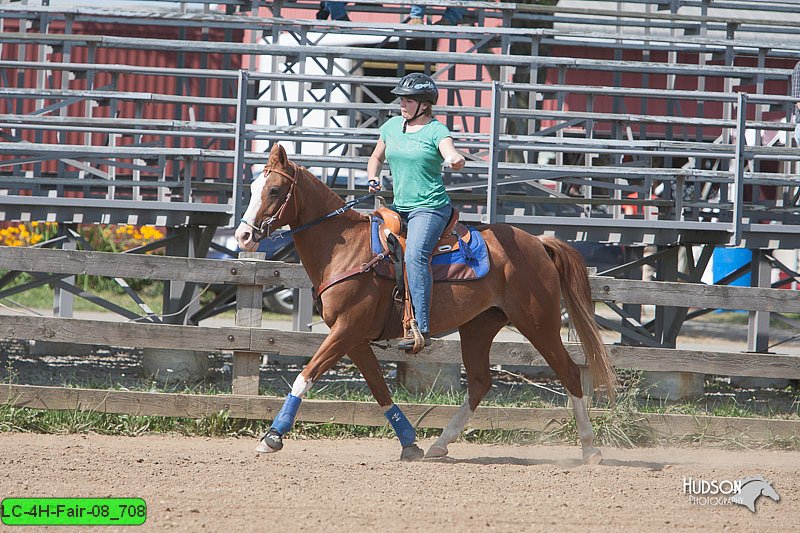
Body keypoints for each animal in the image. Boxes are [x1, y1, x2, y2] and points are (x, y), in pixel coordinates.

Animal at [234, 144, 616, 462]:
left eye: (274, 190)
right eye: (252, 188)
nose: (243, 235)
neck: (347, 249)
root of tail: (538, 242)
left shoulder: (346, 330)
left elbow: (305, 375)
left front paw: (272, 436)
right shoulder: (354, 338)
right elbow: (379, 388)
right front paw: (410, 443)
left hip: (538, 322)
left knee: (569, 373)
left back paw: (590, 448)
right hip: (479, 327)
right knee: (480, 383)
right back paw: (439, 445)